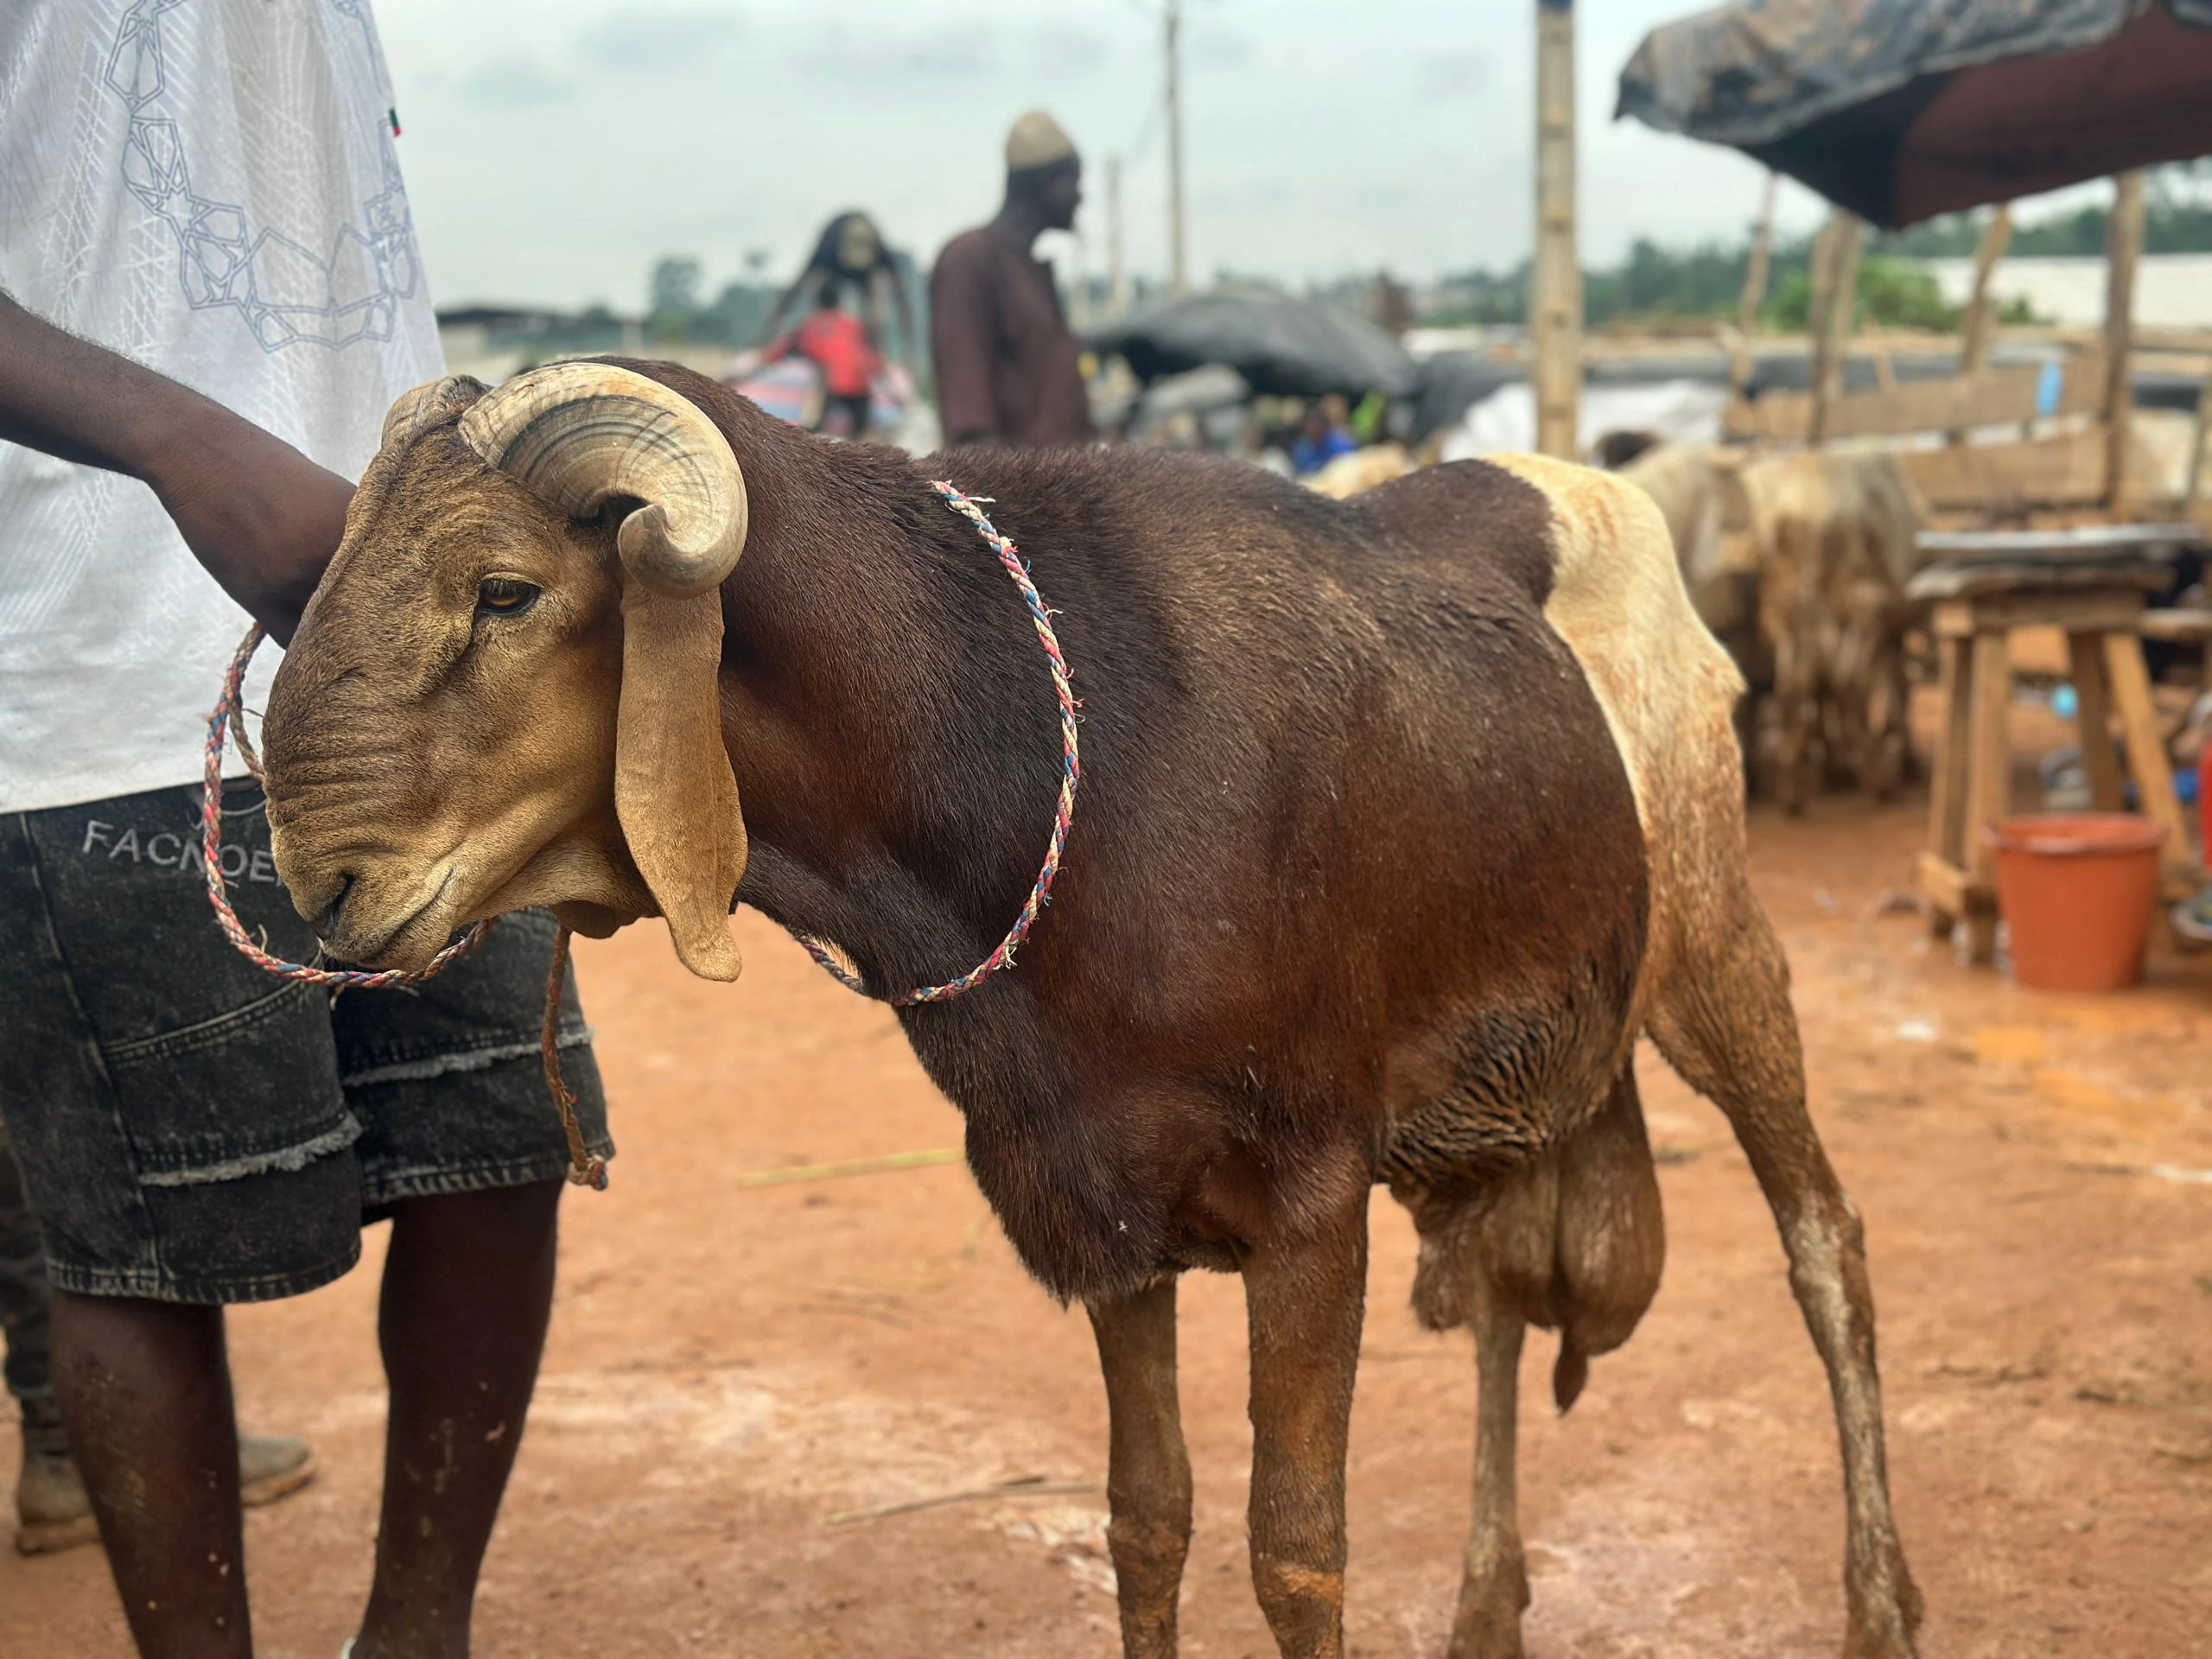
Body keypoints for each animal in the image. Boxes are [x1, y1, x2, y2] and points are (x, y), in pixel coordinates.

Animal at [258, 360, 1921, 1659]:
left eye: (505, 591)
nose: (324, 885)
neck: (1046, 751)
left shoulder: (1309, 1200)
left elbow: (1294, 1552)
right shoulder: (1099, 1197)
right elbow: (1147, 1522)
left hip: (1712, 940)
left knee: (1826, 1246)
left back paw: (1881, 1606)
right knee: (1511, 1296)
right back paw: (1487, 1609)